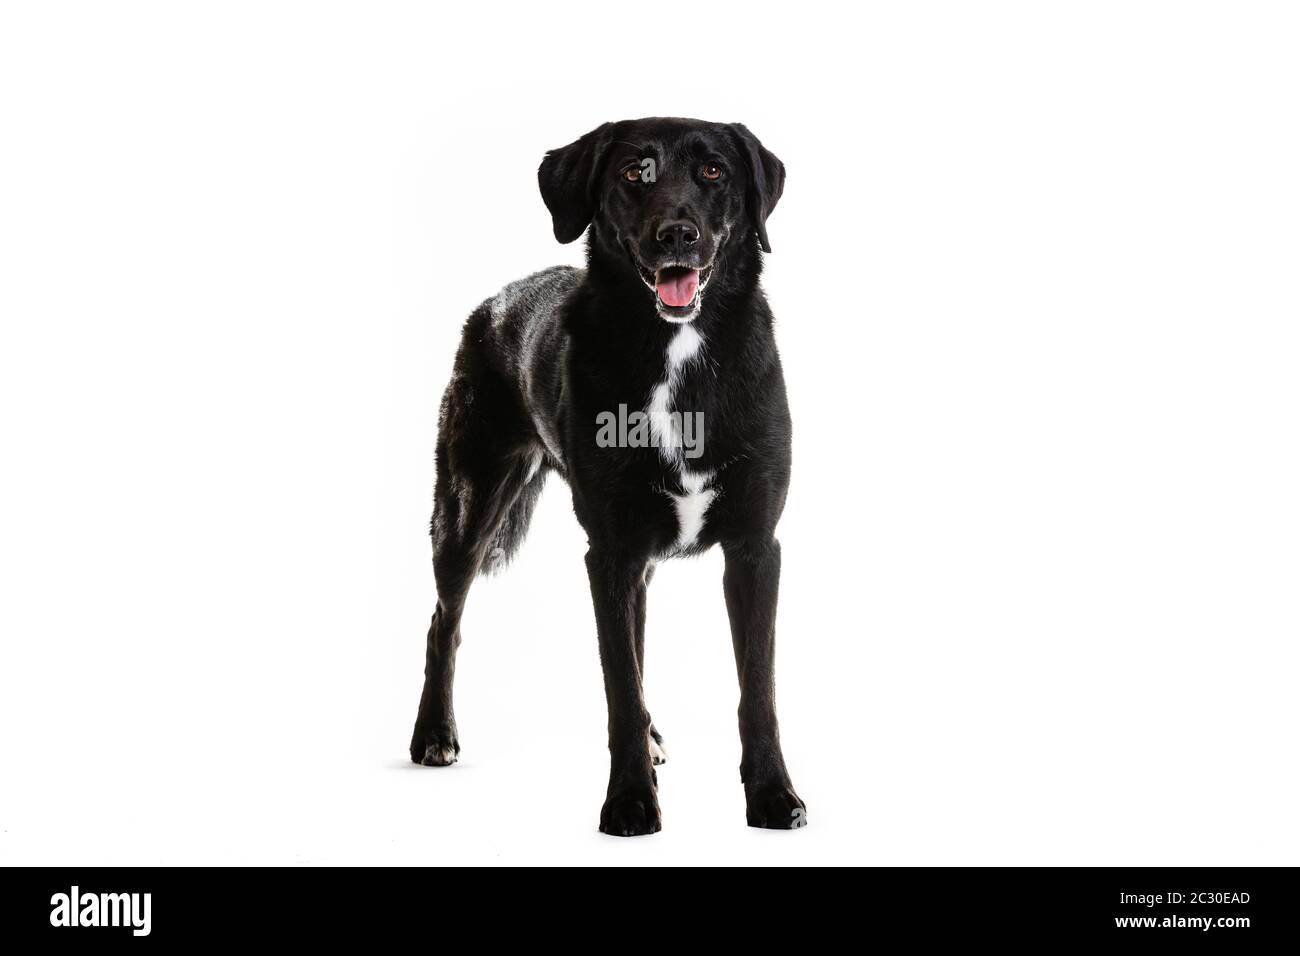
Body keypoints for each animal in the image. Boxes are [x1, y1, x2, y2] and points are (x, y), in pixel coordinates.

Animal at [410, 117, 806, 837]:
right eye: (631, 174)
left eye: (714, 171)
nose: (677, 235)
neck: (676, 352)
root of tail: (494, 301)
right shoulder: (612, 555)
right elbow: (621, 689)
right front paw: (629, 802)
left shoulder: (755, 547)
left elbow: (755, 689)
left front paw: (771, 796)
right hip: (468, 503)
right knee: (442, 622)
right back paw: (434, 734)